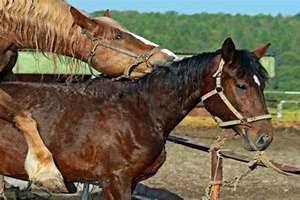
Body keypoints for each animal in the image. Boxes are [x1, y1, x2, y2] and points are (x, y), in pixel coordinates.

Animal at [0, 38, 274, 199]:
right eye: (240, 85)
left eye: (262, 83)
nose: (264, 138)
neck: (139, 112)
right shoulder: (116, 180)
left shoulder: (126, 182)